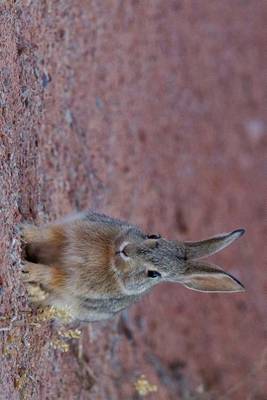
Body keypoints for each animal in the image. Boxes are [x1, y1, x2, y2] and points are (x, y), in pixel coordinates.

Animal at [20, 211, 247, 324]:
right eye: (154, 235)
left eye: (154, 274)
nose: (126, 249)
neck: (108, 258)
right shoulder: (67, 232)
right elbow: (44, 234)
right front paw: (24, 232)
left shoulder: (70, 281)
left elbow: (51, 274)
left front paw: (26, 269)